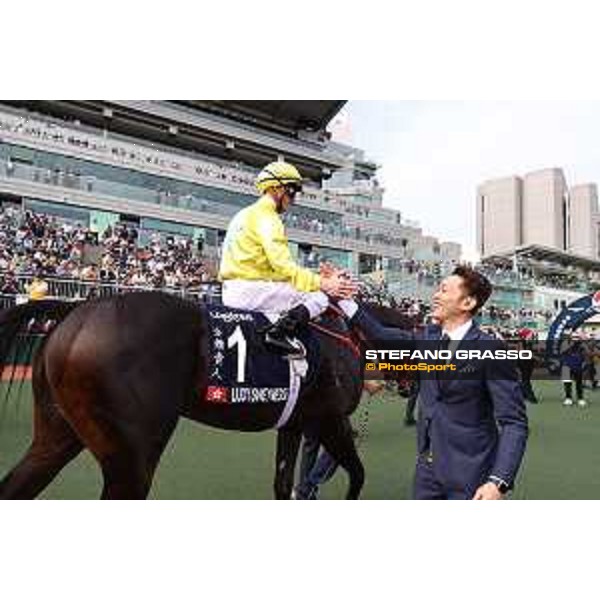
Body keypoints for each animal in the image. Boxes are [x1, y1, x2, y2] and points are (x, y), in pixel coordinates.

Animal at [0, 292, 366, 500]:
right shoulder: (330, 418)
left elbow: (282, 482)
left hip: (59, 433)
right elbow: (357, 474)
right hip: (133, 457)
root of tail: (78, 309)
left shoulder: (295, 423)